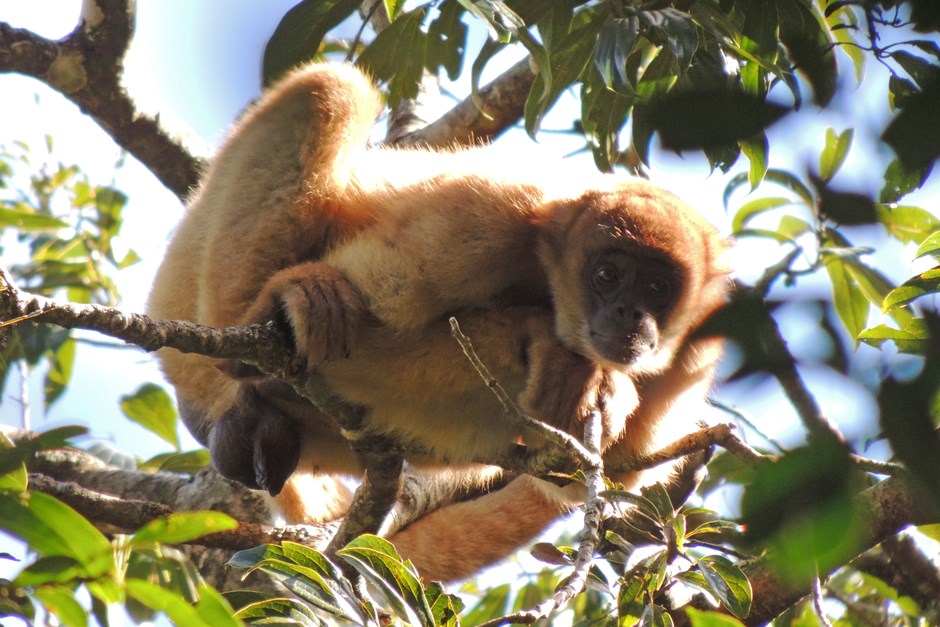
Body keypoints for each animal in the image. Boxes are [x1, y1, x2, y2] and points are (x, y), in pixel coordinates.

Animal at [147, 62, 732, 580]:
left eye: (657, 288)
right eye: (607, 274)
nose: (629, 312)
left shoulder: (700, 346)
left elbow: (586, 478)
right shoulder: (482, 218)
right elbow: (375, 316)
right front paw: (550, 348)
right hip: (185, 289)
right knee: (330, 89)